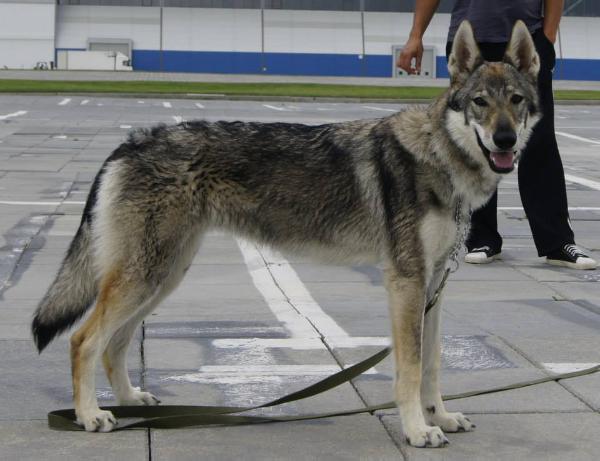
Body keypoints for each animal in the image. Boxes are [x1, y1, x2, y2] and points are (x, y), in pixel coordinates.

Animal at [31, 20, 540, 446]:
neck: (437, 156)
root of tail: (129, 142)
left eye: (515, 101)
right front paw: (417, 430)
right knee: (84, 340)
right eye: (480, 103)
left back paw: (131, 402)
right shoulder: (407, 282)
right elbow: (411, 369)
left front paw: (442, 418)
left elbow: (433, 363)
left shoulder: (433, 285)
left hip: (162, 276)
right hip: (146, 276)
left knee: (115, 344)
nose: (505, 140)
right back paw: (91, 415)